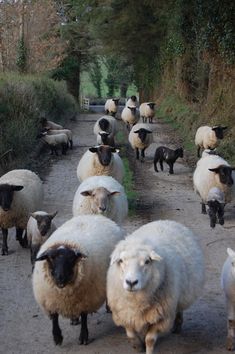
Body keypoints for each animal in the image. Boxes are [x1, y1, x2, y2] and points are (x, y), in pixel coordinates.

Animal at [33, 213, 126, 346]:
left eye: (71, 258)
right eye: (51, 258)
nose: (60, 277)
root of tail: (95, 215)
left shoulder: (86, 298)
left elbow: (84, 316)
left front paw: (83, 336)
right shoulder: (51, 300)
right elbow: (55, 318)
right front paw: (57, 337)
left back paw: (109, 308)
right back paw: (74, 319)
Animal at [106, 220, 204, 352]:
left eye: (147, 261)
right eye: (121, 261)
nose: (131, 282)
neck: (136, 301)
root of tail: (167, 221)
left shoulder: (161, 318)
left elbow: (150, 340)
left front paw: (147, 348)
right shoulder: (124, 314)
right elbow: (130, 334)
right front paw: (137, 346)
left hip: (180, 295)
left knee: (179, 308)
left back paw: (178, 325)